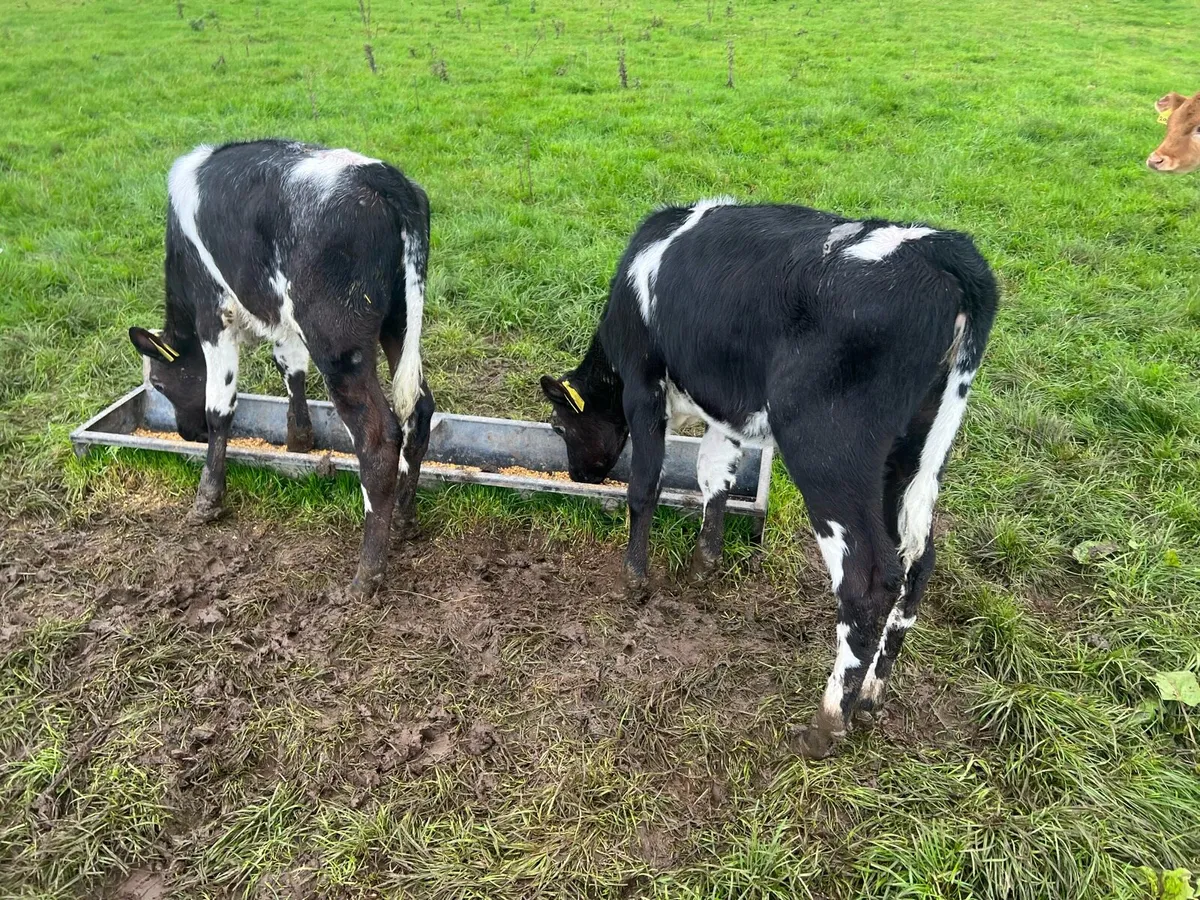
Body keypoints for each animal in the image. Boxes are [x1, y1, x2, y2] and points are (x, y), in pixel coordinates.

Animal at [128, 139, 434, 596]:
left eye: (161, 385)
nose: (186, 433)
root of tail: (380, 176)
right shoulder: (279, 314)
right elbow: (291, 369)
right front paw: (299, 440)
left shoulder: (214, 310)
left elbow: (220, 409)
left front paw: (208, 499)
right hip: (399, 321)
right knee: (419, 409)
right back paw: (402, 519)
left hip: (338, 340)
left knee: (378, 438)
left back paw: (366, 576)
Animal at [540, 200, 997, 758]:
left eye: (560, 425)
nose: (577, 473)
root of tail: (940, 249)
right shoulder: (723, 405)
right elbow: (714, 475)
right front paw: (705, 563)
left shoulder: (644, 384)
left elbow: (645, 484)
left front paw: (634, 577)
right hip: (913, 458)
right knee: (917, 561)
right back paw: (870, 697)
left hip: (827, 449)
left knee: (868, 577)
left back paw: (826, 724)